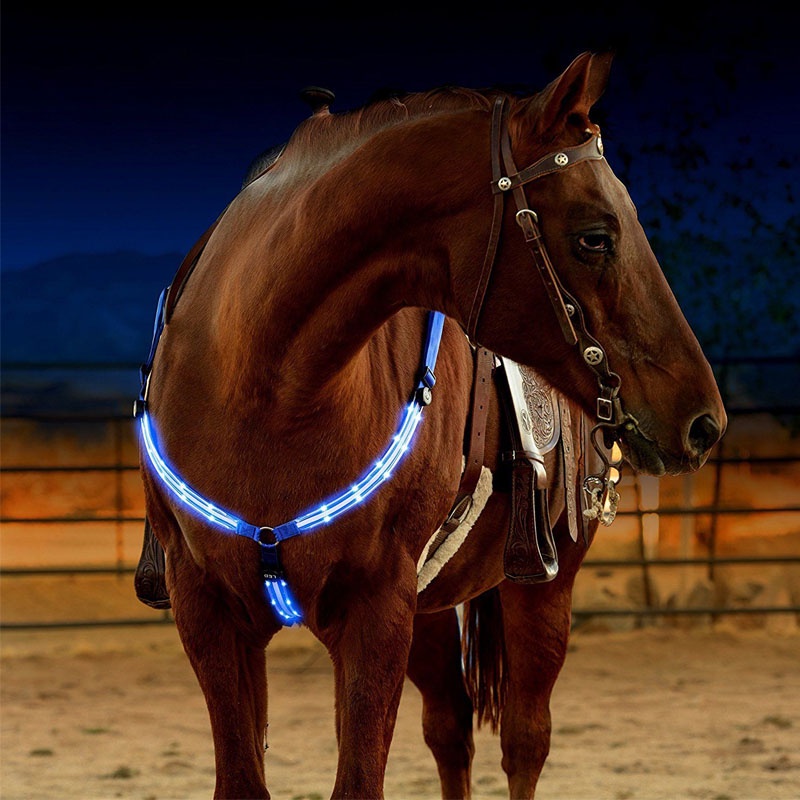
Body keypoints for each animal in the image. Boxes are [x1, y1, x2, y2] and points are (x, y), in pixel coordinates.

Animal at [135, 51, 726, 798]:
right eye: (596, 236)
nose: (704, 422)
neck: (263, 389)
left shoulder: (376, 610)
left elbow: (361, 779)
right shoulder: (209, 611)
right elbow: (246, 777)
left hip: (541, 587)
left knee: (524, 740)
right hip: (431, 609)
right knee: (450, 729)